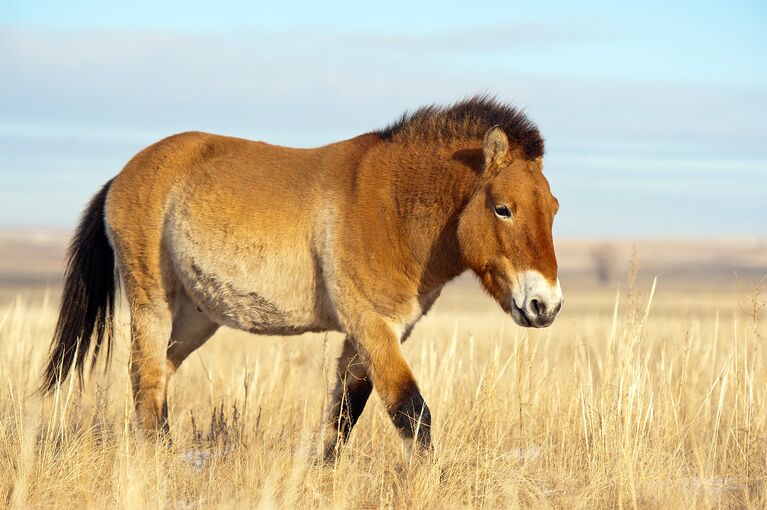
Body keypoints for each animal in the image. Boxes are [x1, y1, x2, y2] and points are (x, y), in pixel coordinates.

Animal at [42, 94, 564, 458]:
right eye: (503, 209)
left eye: (554, 208)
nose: (546, 305)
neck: (390, 206)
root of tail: (122, 175)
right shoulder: (371, 326)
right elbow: (412, 413)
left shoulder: (376, 335)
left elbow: (344, 415)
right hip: (152, 302)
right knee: (146, 378)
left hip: (195, 317)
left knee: (160, 376)